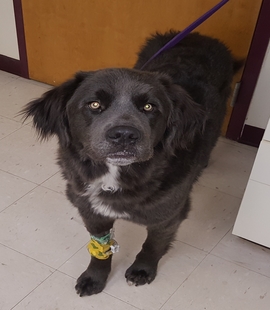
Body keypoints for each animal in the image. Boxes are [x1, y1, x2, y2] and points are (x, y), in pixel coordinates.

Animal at [21, 30, 240, 296]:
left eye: (149, 106)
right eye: (94, 104)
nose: (124, 135)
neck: (118, 177)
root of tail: (200, 36)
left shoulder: (168, 215)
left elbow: (152, 245)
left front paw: (142, 270)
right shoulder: (91, 211)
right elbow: (101, 250)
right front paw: (95, 277)